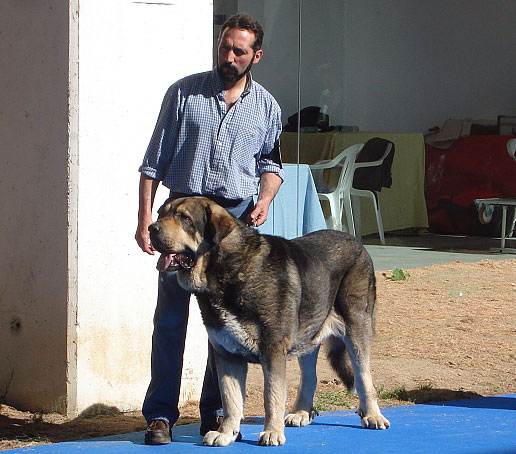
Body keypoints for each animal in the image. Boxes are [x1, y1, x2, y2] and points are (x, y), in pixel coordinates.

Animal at [149, 196, 392, 446]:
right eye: (160, 214)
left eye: (184, 218)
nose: (151, 228)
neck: (229, 271)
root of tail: (356, 241)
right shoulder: (227, 355)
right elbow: (230, 400)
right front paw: (226, 433)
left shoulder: (272, 350)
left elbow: (272, 396)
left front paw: (272, 432)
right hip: (308, 334)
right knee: (310, 377)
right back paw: (301, 412)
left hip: (356, 329)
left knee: (364, 378)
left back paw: (373, 415)